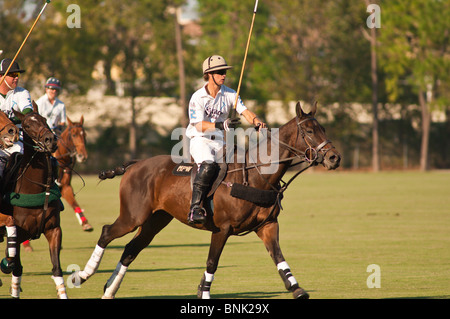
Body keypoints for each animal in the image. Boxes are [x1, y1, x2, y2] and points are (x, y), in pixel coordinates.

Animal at [0, 103, 67, 300]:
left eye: (44, 119)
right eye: (27, 126)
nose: (50, 140)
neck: (35, 187)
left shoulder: (54, 230)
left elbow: (57, 269)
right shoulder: (19, 233)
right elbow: (16, 268)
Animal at [72, 102, 340, 300]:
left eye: (324, 129)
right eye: (308, 131)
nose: (334, 158)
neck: (256, 176)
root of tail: (135, 164)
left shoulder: (268, 226)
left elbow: (278, 257)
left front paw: (297, 289)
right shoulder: (222, 228)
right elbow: (212, 262)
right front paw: (204, 293)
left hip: (156, 219)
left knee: (131, 249)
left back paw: (109, 290)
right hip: (133, 215)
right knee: (107, 232)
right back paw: (84, 275)